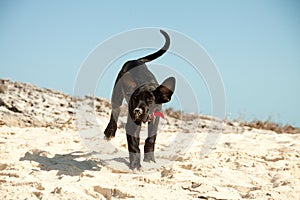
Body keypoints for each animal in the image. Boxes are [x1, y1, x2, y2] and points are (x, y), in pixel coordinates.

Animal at [104, 30, 176, 170]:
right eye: (135, 99)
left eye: (150, 100)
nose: (137, 111)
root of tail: (136, 60)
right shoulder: (132, 123)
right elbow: (133, 145)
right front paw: (136, 165)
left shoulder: (155, 118)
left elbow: (151, 139)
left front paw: (149, 159)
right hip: (117, 94)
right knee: (115, 110)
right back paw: (109, 132)